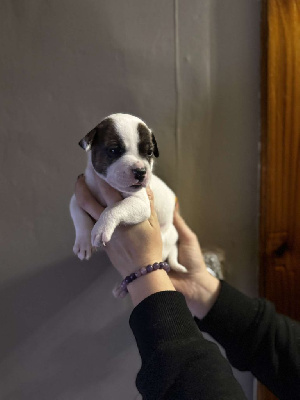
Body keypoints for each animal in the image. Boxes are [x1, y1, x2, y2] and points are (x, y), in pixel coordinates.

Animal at [70, 114, 186, 274]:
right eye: (114, 150)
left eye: (149, 152)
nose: (141, 171)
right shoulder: (80, 193)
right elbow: (79, 215)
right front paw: (83, 243)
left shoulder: (141, 203)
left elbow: (116, 207)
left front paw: (101, 227)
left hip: (166, 238)